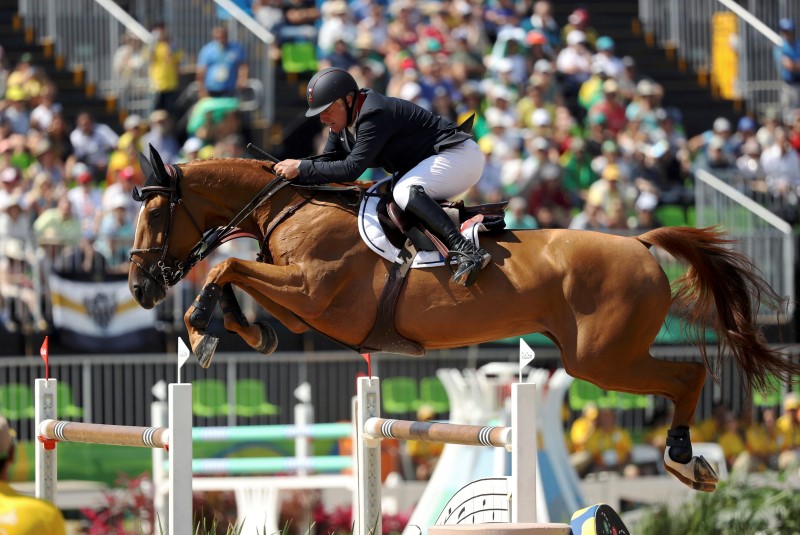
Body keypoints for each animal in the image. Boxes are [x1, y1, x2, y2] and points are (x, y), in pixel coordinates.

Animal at [128, 148, 796, 494]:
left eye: (156, 216)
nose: (138, 287)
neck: (292, 209)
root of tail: (638, 240)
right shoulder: (307, 312)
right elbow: (241, 284)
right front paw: (239, 332)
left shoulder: (316, 294)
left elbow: (225, 269)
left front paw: (201, 329)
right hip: (605, 356)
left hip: (602, 359)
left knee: (686, 379)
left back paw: (685, 461)